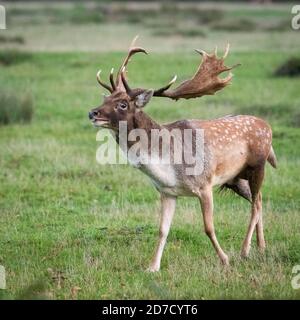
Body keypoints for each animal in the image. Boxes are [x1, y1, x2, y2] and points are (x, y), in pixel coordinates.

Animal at [88, 38, 276, 272]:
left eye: (122, 104)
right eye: (106, 99)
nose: (92, 113)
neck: (168, 166)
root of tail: (267, 126)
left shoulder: (205, 185)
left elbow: (208, 227)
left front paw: (224, 259)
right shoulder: (168, 192)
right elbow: (162, 230)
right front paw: (152, 267)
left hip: (258, 165)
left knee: (256, 204)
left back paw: (245, 250)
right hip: (235, 179)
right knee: (259, 199)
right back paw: (261, 247)